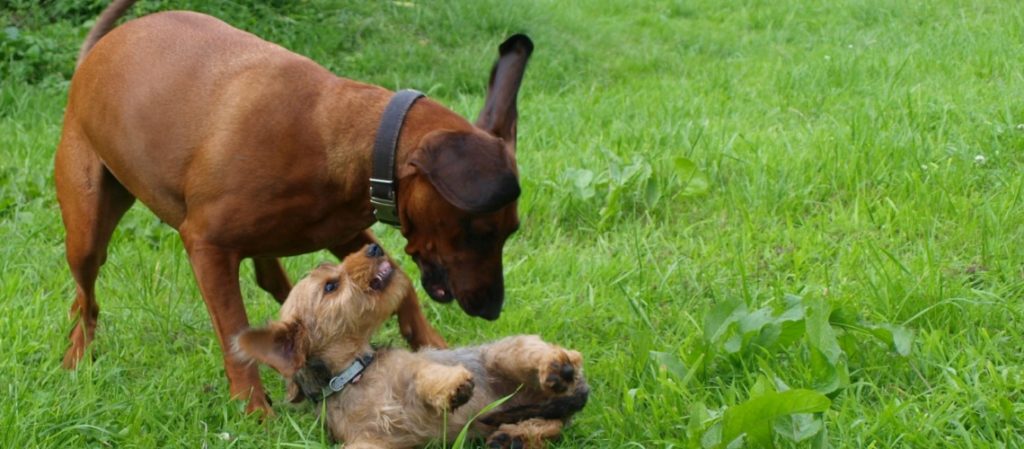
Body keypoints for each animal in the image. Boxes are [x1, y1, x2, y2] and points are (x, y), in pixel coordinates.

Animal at [58, 0, 528, 414]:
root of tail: (93, 53)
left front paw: (434, 348)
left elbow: (398, 281)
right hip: (86, 234)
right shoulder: (207, 248)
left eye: (509, 233)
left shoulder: (345, 231)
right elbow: (236, 338)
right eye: (480, 232)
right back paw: (75, 359)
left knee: (271, 278)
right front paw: (254, 411)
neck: (351, 137)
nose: (492, 309)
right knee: (86, 300)